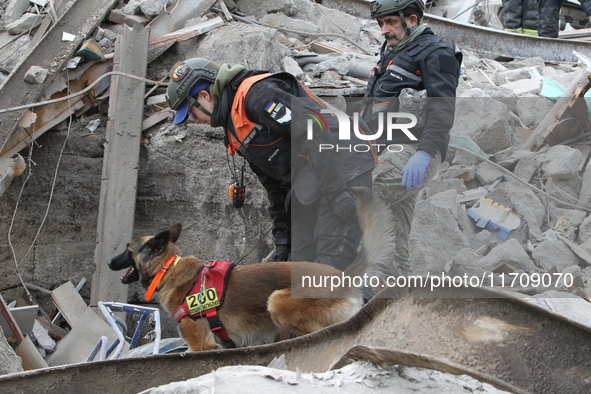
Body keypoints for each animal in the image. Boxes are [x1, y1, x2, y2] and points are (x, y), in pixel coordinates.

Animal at [108, 187, 396, 350]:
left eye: (127, 249)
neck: (168, 268)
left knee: (321, 335)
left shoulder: (202, 345)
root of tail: (343, 277)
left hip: (278, 300)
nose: (110, 262)